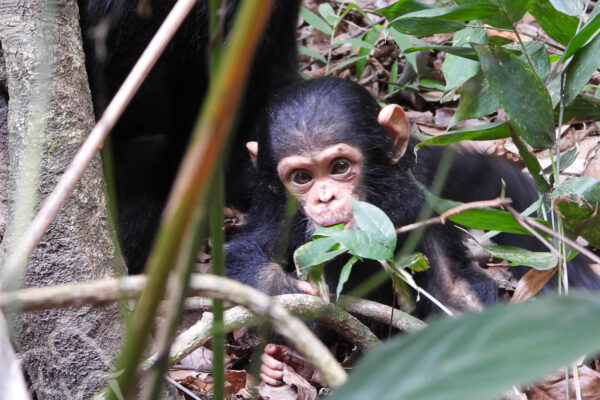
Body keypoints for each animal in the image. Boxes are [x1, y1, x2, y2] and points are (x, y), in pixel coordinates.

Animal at [224, 76, 600, 384]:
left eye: (340, 167)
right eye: (302, 177)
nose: (325, 197)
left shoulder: (428, 189)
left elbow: (451, 287)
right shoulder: (277, 211)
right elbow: (243, 251)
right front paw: (282, 288)